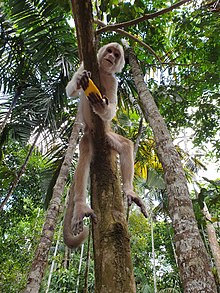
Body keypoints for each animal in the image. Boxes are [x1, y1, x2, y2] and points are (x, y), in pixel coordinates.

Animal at [62, 42, 147, 249]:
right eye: (109, 51)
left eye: (116, 54)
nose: (111, 57)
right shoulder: (85, 64)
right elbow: (70, 90)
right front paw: (80, 81)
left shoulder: (113, 81)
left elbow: (112, 106)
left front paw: (101, 107)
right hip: (89, 136)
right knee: (85, 153)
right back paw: (81, 206)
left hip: (107, 135)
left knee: (126, 145)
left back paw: (129, 191)